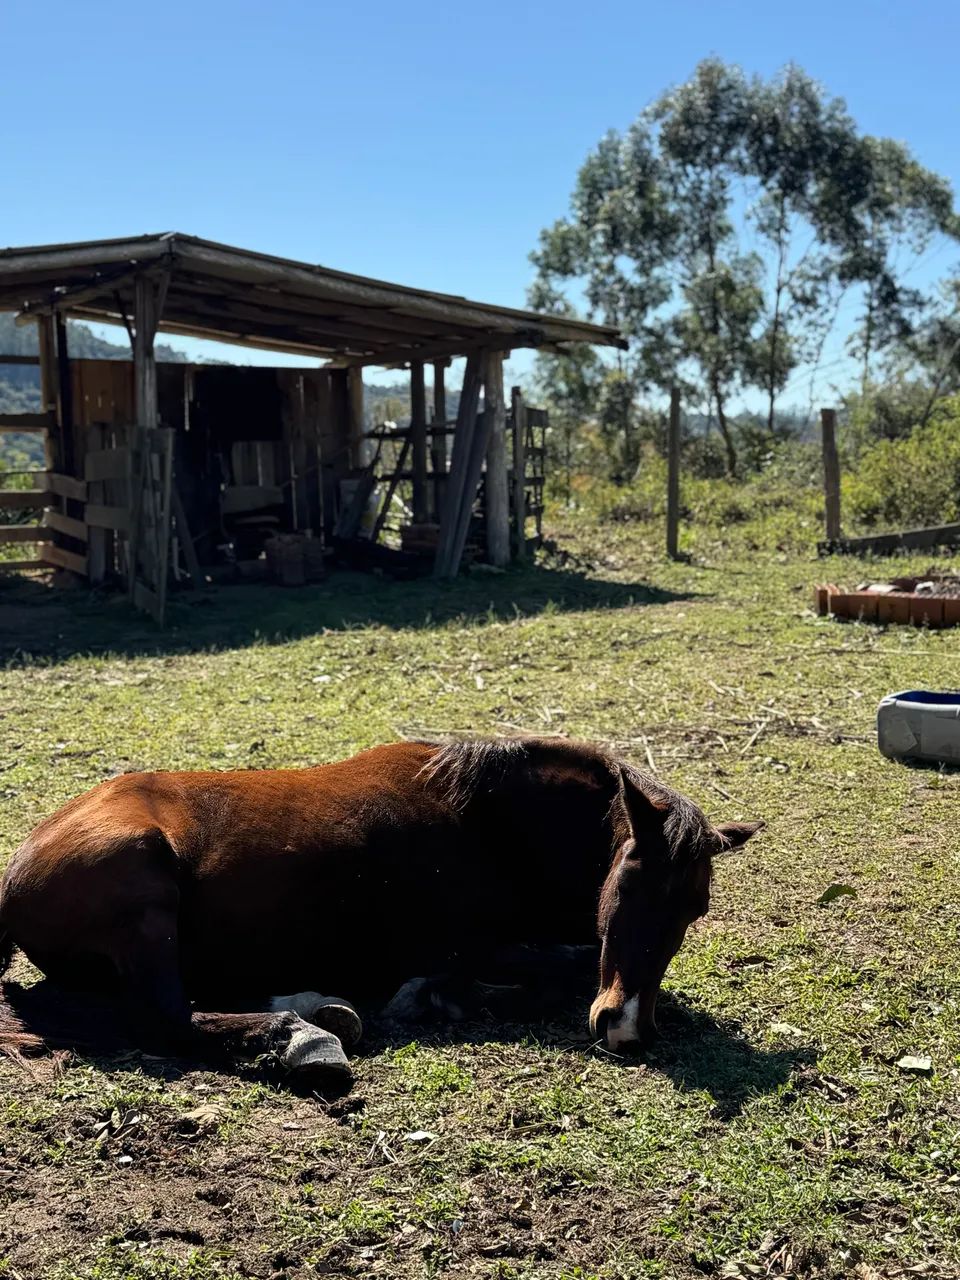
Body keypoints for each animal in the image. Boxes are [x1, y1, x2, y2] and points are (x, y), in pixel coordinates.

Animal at [0, 737, 761, 1091]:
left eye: (694, 909)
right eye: (626, 883)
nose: (627, 1028)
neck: (490, 822)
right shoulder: (468, 944)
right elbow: (558, 969)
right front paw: (437, 996)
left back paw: (312, 1008)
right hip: (144, 888)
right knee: (162, 1014)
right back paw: (302, 1038)